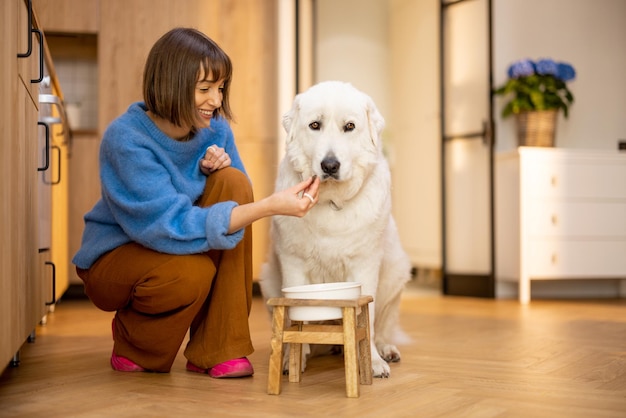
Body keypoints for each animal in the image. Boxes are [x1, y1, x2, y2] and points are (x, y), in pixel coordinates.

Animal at [258, 80, 410, 378]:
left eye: (349, 126)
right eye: (314, 125)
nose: (329, 165)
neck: (330, 201)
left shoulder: (365, 266)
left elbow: (368, 319)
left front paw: (372, 362)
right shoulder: (293, 264)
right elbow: (296, 317)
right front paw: (292, 359)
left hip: (396, 273)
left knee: (384, 324)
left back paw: (386, 349)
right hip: (268, 278)